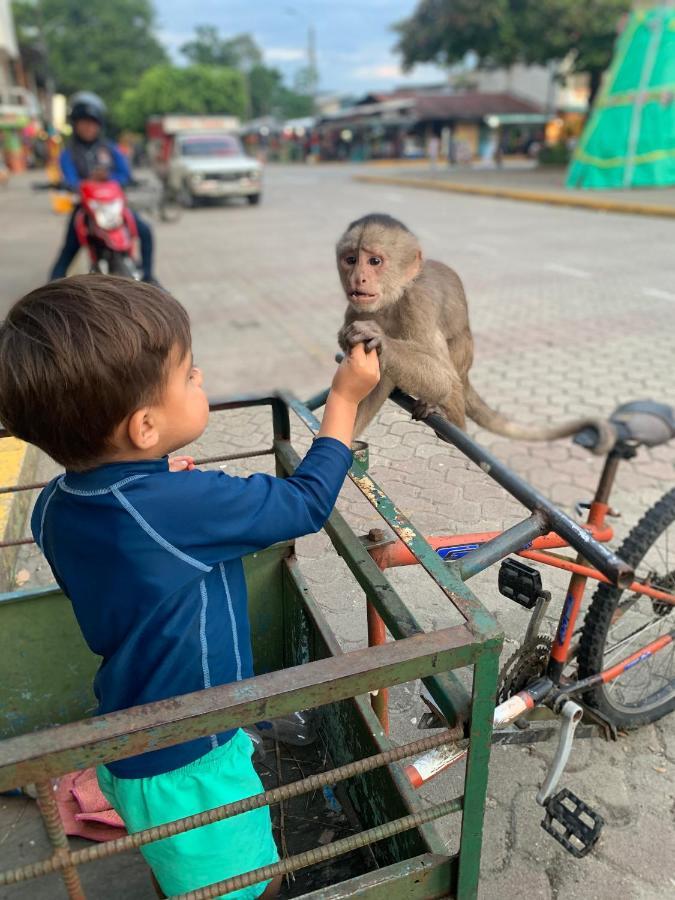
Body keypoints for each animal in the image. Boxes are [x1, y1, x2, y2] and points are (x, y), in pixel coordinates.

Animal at [336, 215, 616, 454]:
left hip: (462, 358)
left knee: (449, 373)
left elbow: (443, 378)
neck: (392, 299)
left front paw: (379, 338)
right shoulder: (355, 310)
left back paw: (455, 424)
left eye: (374, 262)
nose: (358, 279)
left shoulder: (417, 302)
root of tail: (467, 373)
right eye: (351, 260)